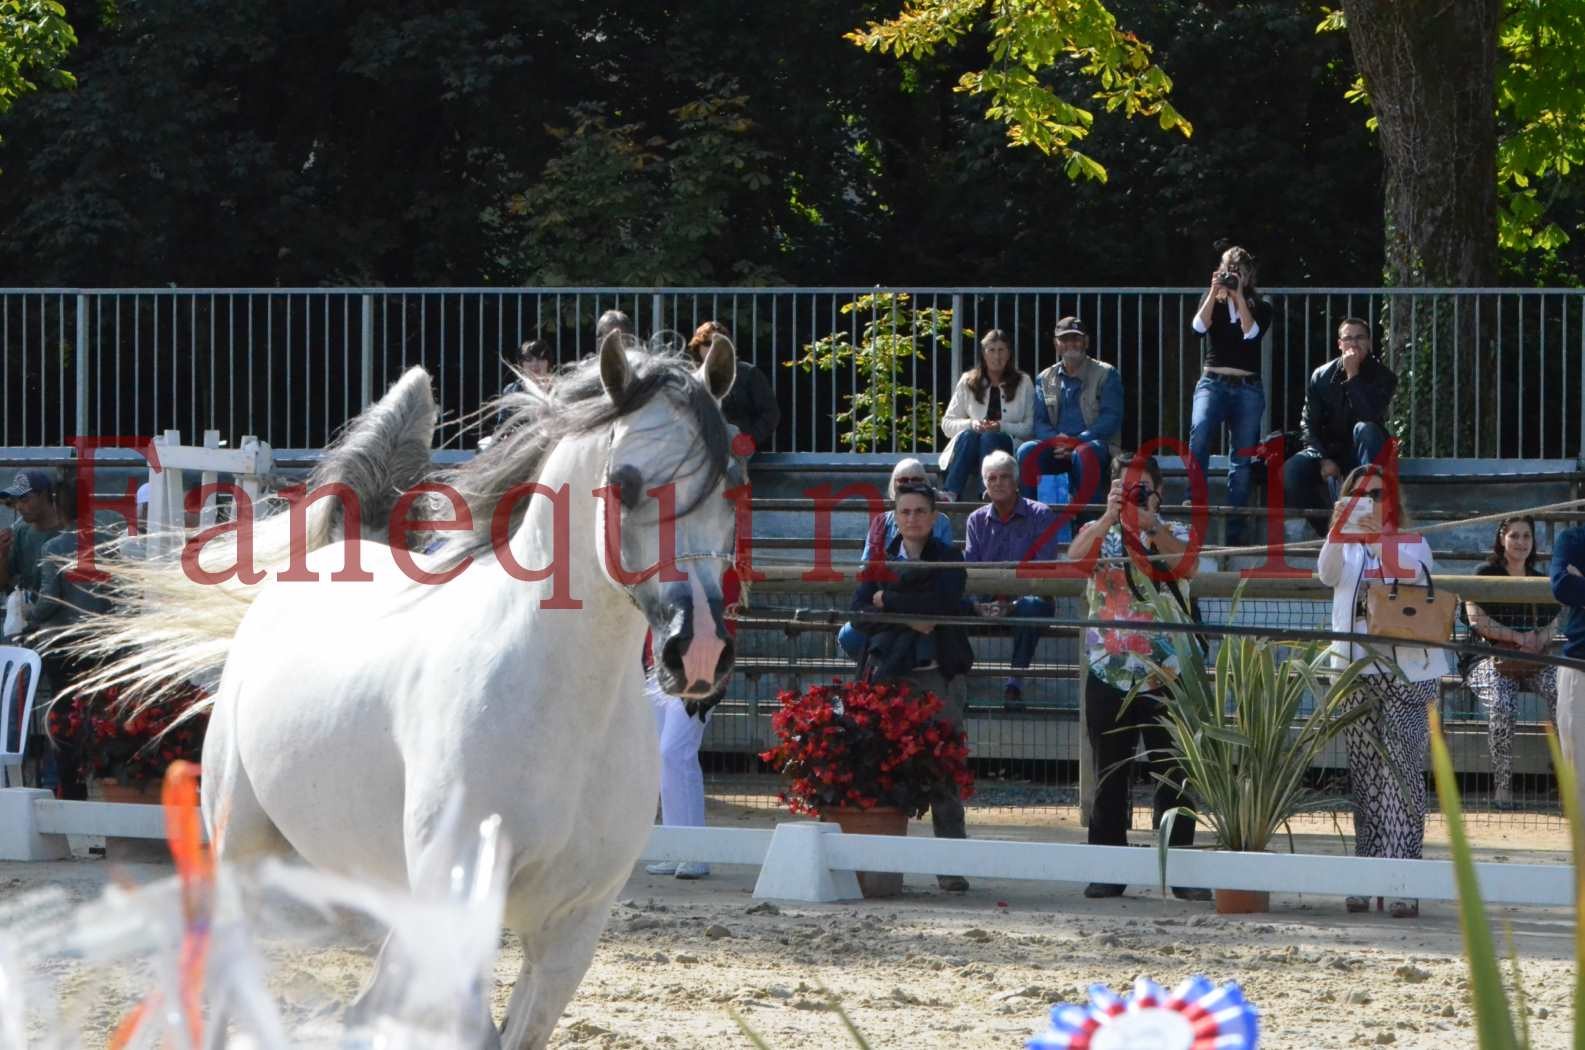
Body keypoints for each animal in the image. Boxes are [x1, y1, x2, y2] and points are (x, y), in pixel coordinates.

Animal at [71, 339, 738, 1050]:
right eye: (625, 483)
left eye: (729, 479)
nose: (698, 649)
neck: (564, 704)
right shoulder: (459, 904)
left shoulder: (573, 929)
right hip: (240, 847)